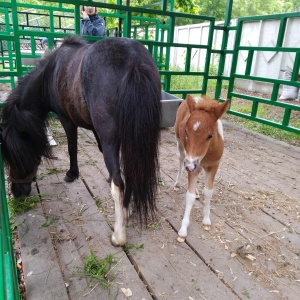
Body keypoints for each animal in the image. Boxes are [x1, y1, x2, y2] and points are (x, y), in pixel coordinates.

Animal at [0, 35, 162, 246]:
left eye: (15, 157)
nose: (17, 192)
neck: (50, 73)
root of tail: (133, 59)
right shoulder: (95, 128)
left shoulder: (67, 121)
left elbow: (72, 148)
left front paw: (71, 173)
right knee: (131, 171)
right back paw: (127, 209)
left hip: (111, 138)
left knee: (119, 183)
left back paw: (119, 235)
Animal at [173, 95, 230, 243]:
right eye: (186, 132)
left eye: (210, 135)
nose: (190, 166)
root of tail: (197, 97)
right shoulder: (192, 164)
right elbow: (190, 196)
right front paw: (183, 230)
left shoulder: (214, 166)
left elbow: (208, 192)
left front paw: (206, 219)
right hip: (180, 146)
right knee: (180, 159)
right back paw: (177, 184)